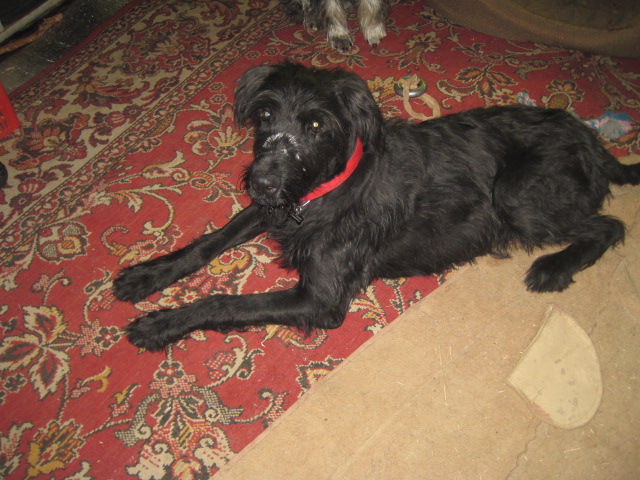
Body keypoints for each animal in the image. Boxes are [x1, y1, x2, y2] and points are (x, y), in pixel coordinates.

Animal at [113, 62, 640, 351]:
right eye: (264, 114)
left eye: (316, 126)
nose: (260, 181)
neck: (322, 193)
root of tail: (592, 142)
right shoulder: (276, 206)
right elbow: (210, 241)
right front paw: (147, 276)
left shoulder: (320, 299)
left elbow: (226, 301)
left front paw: (161, 322)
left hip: (516, 193)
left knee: (608, 227)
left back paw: (553, 268)